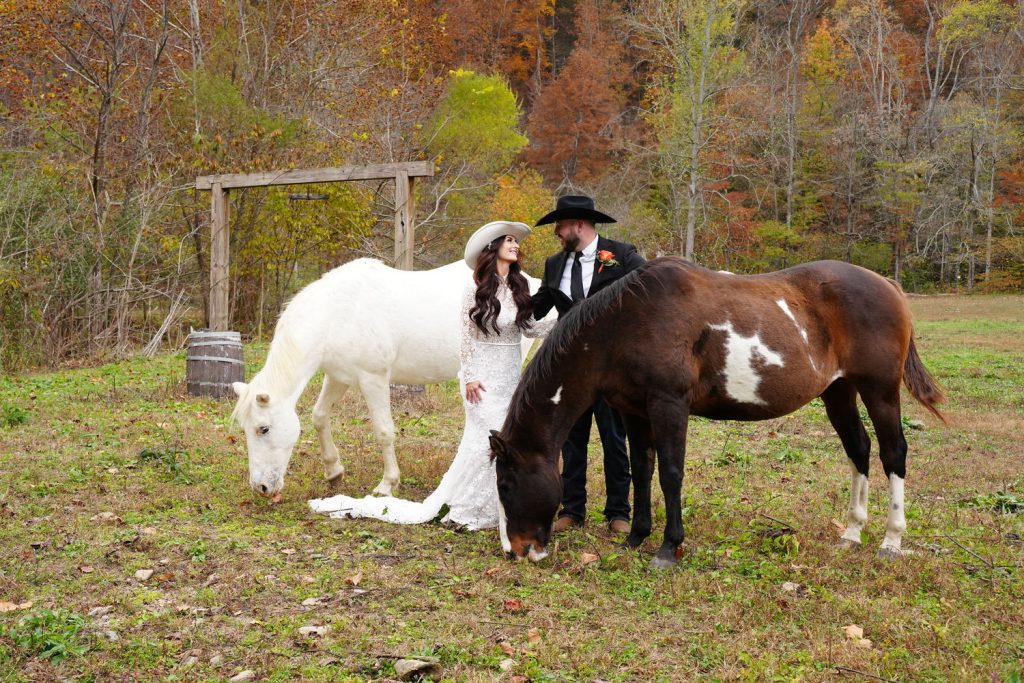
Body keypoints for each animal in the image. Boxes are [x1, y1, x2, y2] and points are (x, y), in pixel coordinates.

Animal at [489, 257, 945, 567]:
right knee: (859, 449)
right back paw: (852, 532)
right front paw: (635, 537)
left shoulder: (669, 405)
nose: (516, 550)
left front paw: (668, 548)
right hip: (839, 392)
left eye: (506, 485)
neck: (624, 324)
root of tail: (887, 285)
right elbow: (642, 471)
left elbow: (671, 474)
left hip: (880, 391)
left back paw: (891, 540)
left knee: (893, 452)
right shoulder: (635, 412)